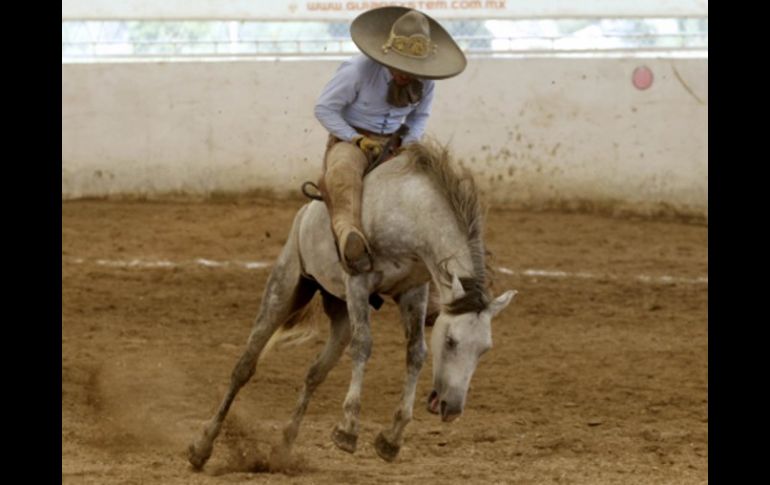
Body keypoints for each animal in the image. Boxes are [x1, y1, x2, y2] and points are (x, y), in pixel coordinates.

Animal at [187, 141, 516, 468]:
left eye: (485, 349)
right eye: (450, 341)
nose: (452, 408)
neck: (409, 212)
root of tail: (304, 213)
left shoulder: (413, 291)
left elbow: (416, 353)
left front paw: (391, 439)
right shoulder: (360, 281)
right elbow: (364, 346)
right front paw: (348, 430)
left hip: (341, 313)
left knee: (315, 373)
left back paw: (283, 449)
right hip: (284, 288)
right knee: (245, 366)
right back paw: (202, 447)